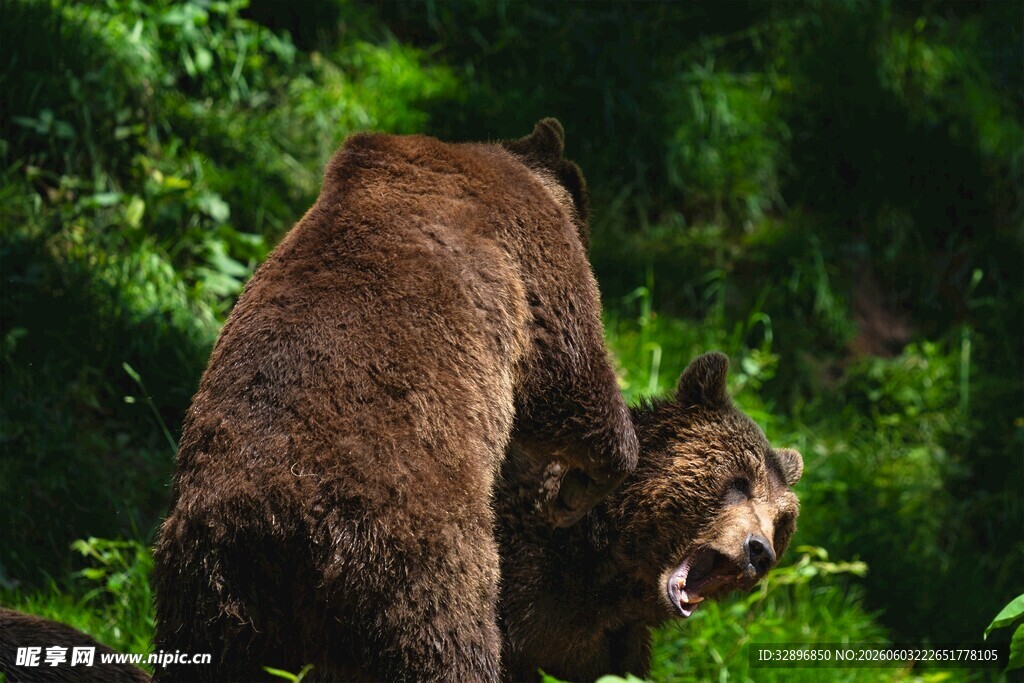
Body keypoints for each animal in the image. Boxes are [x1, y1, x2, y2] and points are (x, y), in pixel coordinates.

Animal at [151, 119, 639, 683]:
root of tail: (278, 527)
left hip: (212, 602)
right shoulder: (532, 263)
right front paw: (581, 486)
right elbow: (573, 377)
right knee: (451, 647)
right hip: (412, 570)